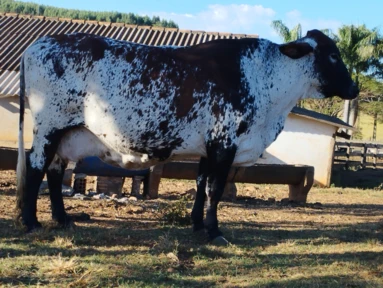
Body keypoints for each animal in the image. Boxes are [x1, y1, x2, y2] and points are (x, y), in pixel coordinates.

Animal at [16, 30, 360, 244]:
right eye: (332, 55)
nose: (354, 88)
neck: (268, 79)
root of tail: (36, 46)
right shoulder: (224, 144)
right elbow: (215, 189)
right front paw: (214, 231)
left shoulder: (208, 148)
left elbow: (200, 185)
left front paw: (196, 224)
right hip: (49, 127)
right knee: (36, 168)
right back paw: (31, 222)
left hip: (66, 134)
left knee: (55, 170)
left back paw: (62, 218)